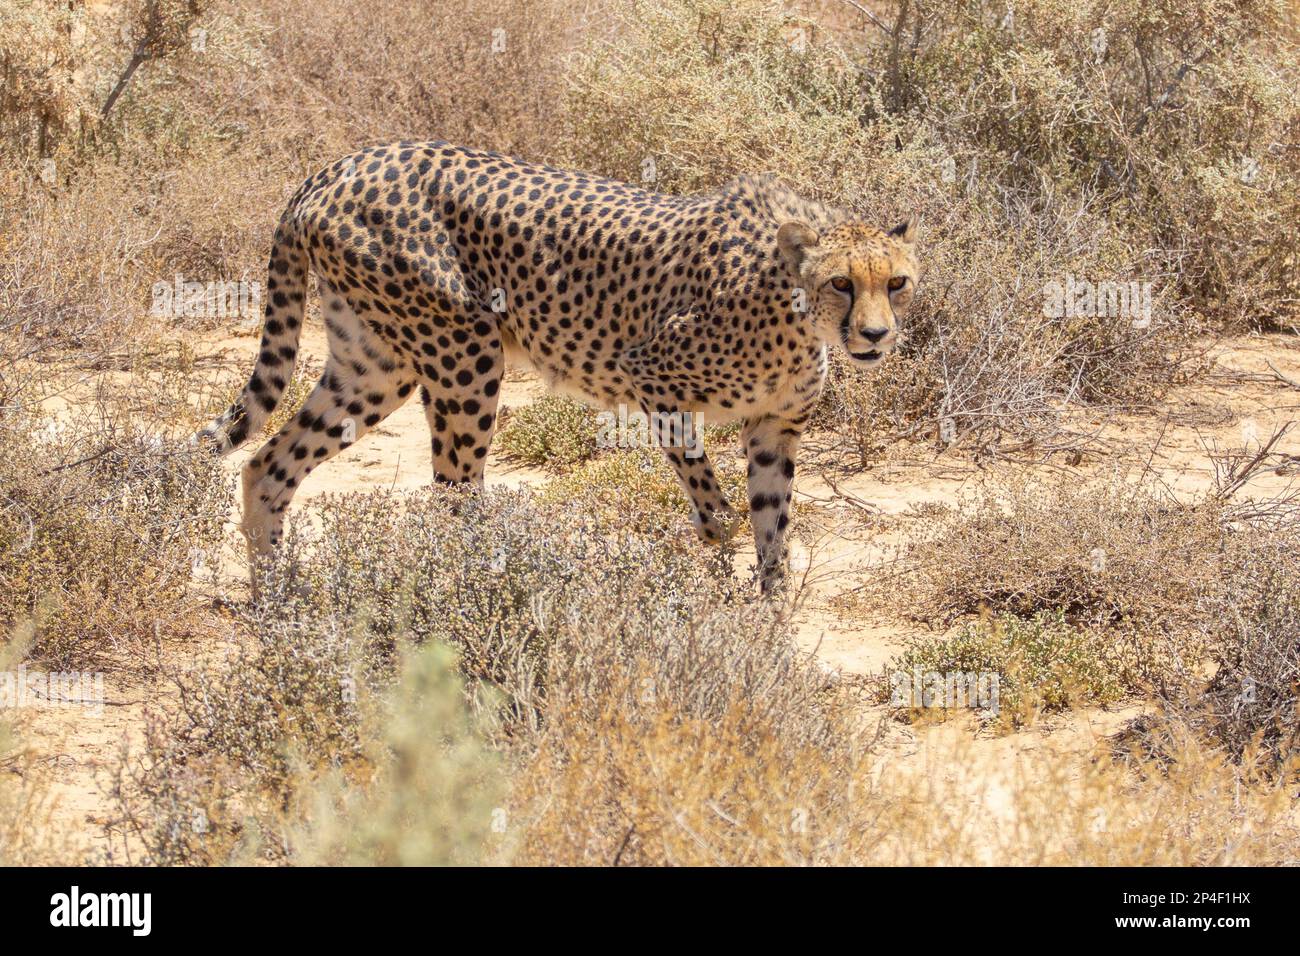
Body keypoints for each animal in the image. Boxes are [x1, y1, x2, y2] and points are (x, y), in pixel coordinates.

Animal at [197, 139, 920, 595]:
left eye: (898, 283)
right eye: (842, 284)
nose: (876, 335)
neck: (792, 308)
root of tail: (338, 165)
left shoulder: (775, 427)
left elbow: (775, 525)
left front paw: (772, 626)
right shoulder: (653, 378)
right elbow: (717, 510)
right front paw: (719, 574)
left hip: (375, 366)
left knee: (266, 465)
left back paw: (277, 603)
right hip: (465, 355)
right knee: (453, 495)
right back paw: (480, 589)